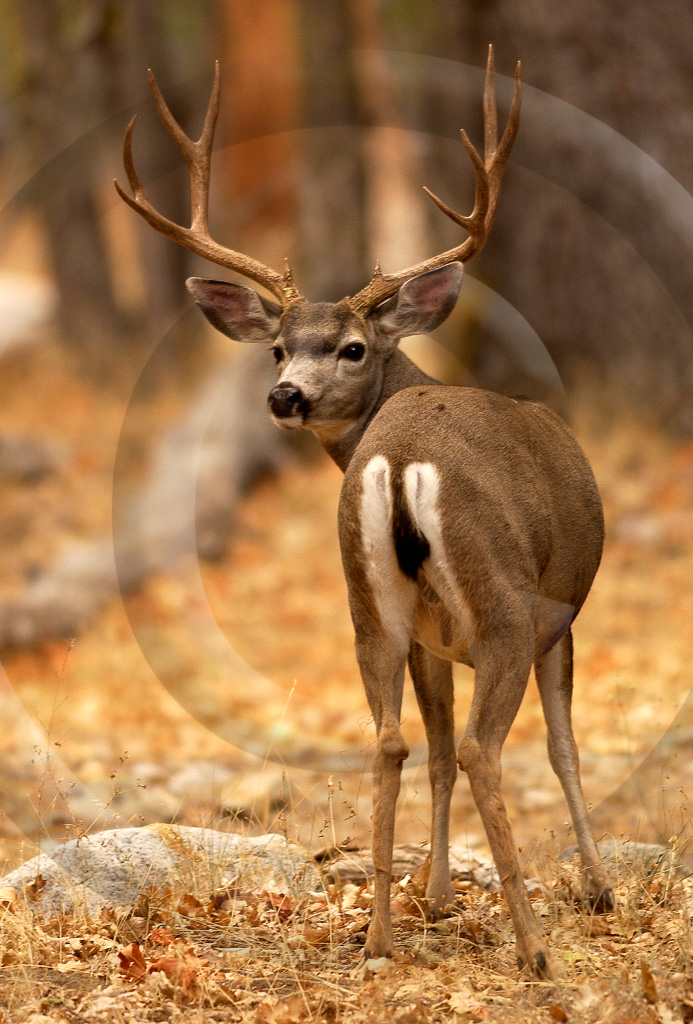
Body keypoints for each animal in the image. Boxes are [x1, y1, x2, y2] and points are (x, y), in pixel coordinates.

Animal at [116, 48, 614, 974]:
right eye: (279, 347)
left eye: (348, 347)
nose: (283, 394)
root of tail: (399, 460)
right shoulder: (560, 608)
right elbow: (560, 748)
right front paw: (594, 890)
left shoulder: (425, 636)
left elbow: (433, 751)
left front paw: (437, 895)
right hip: (502, 599)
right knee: (485, 748)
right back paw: (531, 947)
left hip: (364, 597)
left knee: (391, 740)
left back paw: (380, 936)